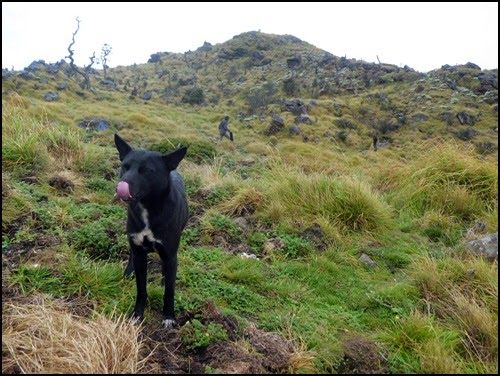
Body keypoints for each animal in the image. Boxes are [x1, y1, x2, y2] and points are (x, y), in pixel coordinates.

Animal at [114, 134, 188, 328]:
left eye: (147, 170)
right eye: (125, 166)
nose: (121, 185)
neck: (148, 207)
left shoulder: (170, 255)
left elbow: (169, 290)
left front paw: (169, 317)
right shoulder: (139, 250)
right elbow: (141, 289)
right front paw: (137, 315)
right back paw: (128, 273)